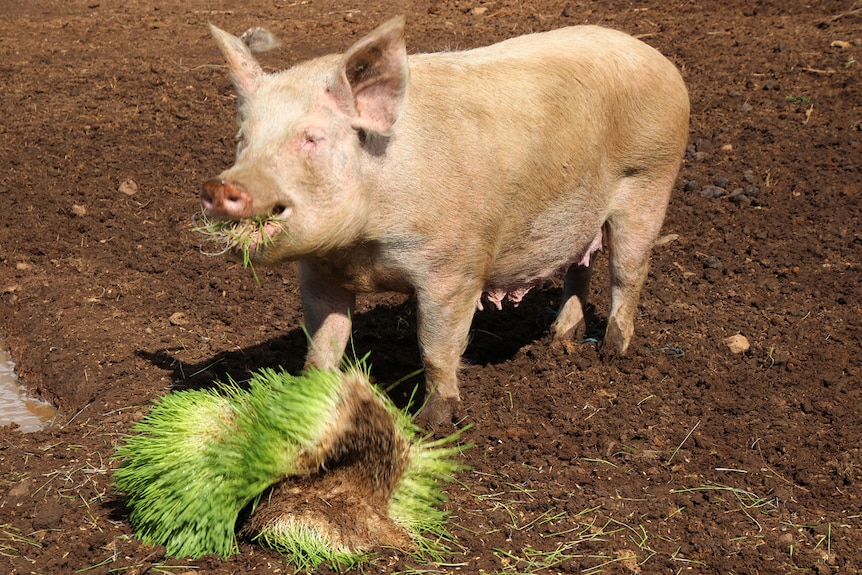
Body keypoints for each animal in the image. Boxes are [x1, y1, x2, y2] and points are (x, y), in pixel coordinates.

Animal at [201, 15, 688, 428]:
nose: (219, 186)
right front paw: (307, 400)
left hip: (650, 180)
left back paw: (611, 353)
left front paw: (431, 424)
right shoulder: (319, 272)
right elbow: (322, 346)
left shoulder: (454, 269)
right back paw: (560, 339)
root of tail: (659, 59)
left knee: (628, 272)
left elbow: (436, 348)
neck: (362, 249)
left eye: (311, 139)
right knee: (579, 266)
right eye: (243, 139)